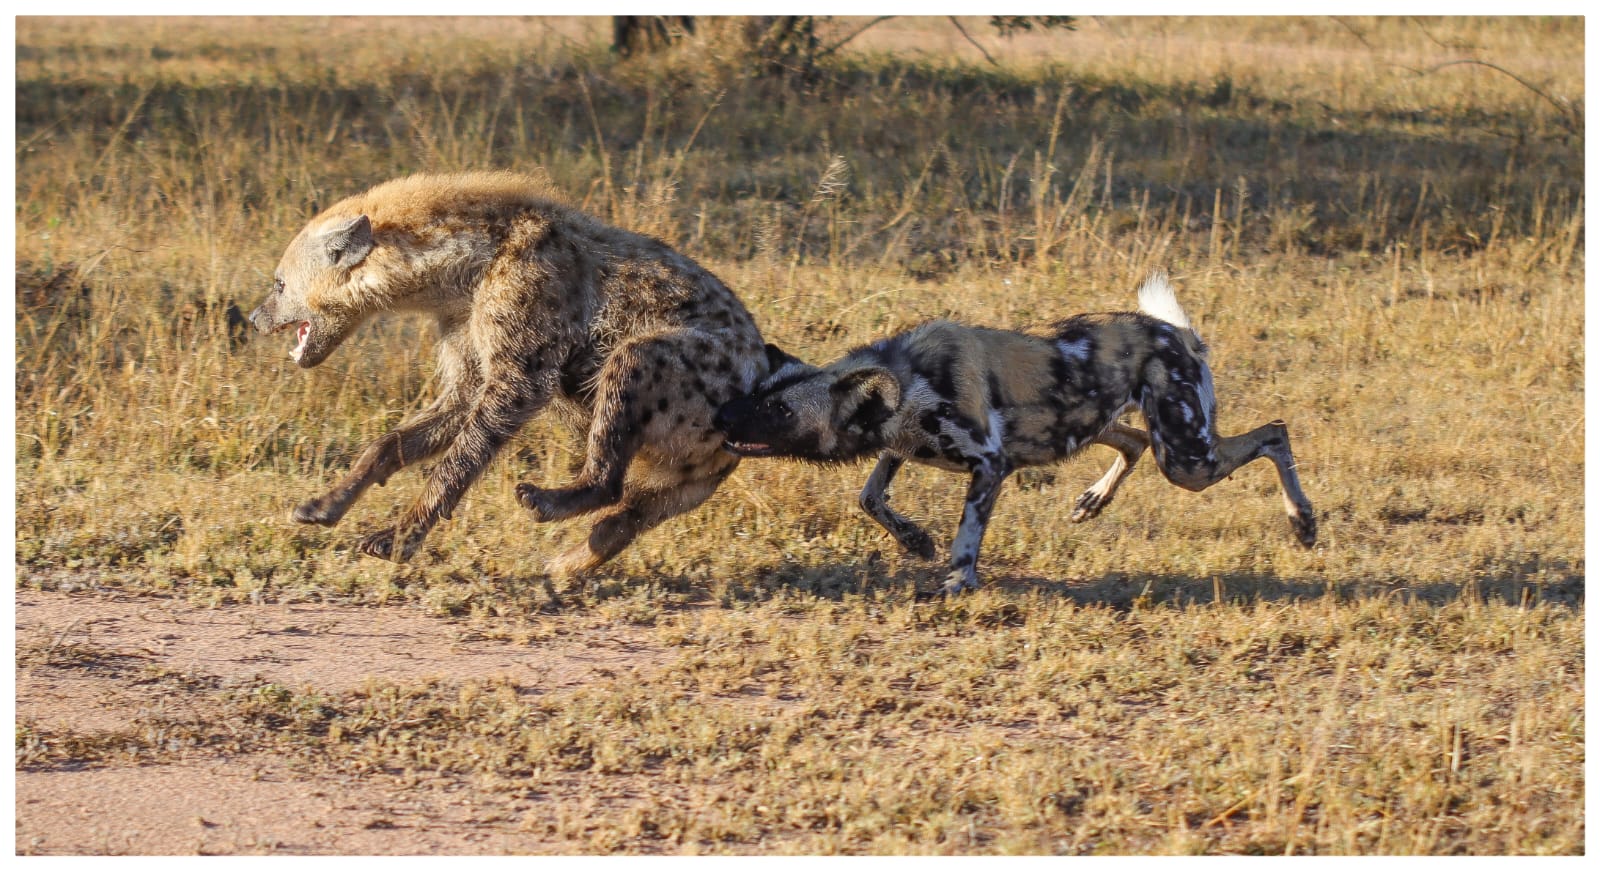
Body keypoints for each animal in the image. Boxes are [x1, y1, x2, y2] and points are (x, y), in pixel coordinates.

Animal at [251, 173, 768, 576]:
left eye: (279, 284)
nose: (254, 318)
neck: (461, 272)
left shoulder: (523, 361)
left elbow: (461, 455)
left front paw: (396, 540)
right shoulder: (463, 341)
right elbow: (396, 440)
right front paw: (321, 507)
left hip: (669, 368)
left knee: (616, 445)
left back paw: (545, 503)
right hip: (685, 482)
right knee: (622, 521)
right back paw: (559, 569)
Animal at [713, 275, 1312, 595]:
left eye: (780, 410)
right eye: (757, 393)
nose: (720, 417)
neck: (908, 379)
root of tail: (1176, 332)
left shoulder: (989, 466)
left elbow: (965, 539)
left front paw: (957, 584)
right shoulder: (901, 445)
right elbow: (870, 496)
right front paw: (915, 541)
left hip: (1188, 459)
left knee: (1275, 432)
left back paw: (1303, 522)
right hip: (1103, 428)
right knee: (1134, 442)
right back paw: (1093, 501)